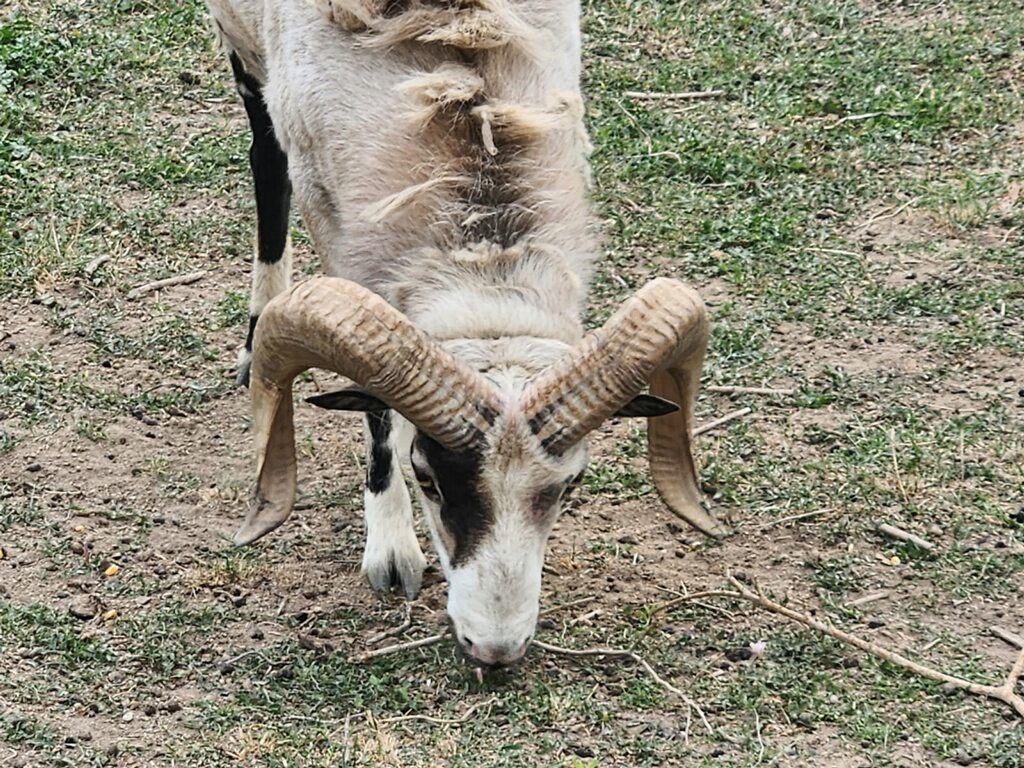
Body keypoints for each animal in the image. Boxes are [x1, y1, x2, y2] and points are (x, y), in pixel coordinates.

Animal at [205, 0, 728, 669]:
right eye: (425, 476)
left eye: (573, 482)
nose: (496, 651)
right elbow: (376, 414)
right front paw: (391, 552)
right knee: (265, 161)